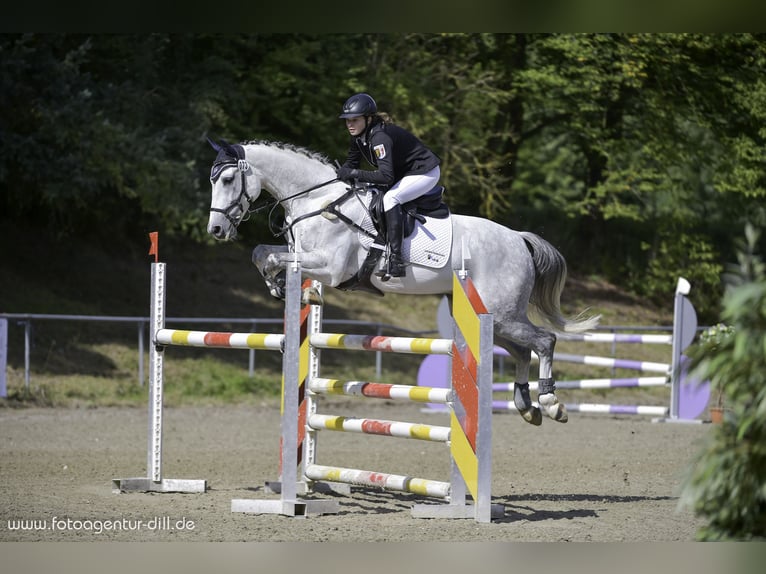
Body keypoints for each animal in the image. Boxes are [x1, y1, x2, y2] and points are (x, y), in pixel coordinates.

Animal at [207, 141, 604, 428]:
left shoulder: (330, 268)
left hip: (503, 314)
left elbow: (276, 258)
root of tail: (519, 240)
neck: (317, 201)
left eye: (227, 180)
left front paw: (286, 287)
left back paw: (551, 404)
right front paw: (279, 287)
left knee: (544, 341)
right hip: (492, 317)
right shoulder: (302, 254)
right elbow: (262, 252)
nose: (216, 230)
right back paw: (526, 407)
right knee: (523, 351)